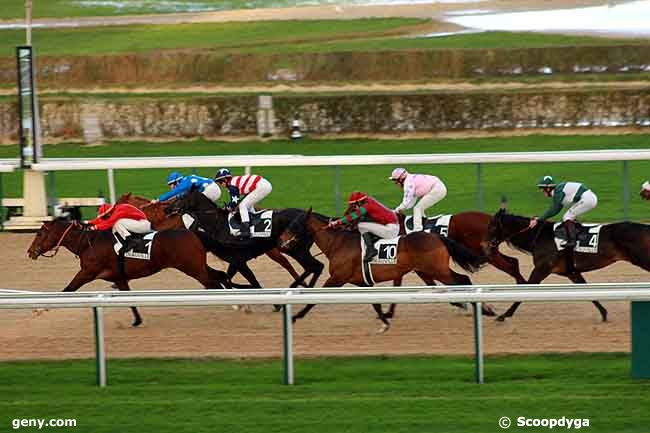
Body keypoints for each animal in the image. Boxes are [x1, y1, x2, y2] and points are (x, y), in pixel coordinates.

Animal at [27, 221, 230, 326]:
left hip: (193, 268)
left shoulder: (86, 273)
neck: (87, 244)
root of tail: (194, 234)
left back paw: (234, 305)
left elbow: (67, 290)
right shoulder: (119, 277)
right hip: (197, 266)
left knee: (213, 283)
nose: (30, 252)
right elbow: (129, 298)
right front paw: (137, 320)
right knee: (219, 276)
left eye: (39, 234)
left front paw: (40, 309)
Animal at [167, 189, 324, 290]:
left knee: (315, 266)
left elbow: (243, 280)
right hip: (296, 249)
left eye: (180, 198)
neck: (219, 223)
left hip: (296, 249)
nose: (167, 209)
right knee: (313, 267)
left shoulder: (238, 260)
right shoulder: (234, 261)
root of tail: (310, 216)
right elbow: (228, 278)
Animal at [278, 209, 486, 330]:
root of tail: (437, 237)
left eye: (294, 224)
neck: (338, 242)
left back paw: (484, 309)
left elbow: (314, 300)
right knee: (460, 281)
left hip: (437, 269)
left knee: (462, 280)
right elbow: (376, 303)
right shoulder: (361, 282)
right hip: (430, 269)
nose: (281, 240)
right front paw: (385, 322)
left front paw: (296, 315)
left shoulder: (337, 278)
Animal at [486, 209, 648, 320]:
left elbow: (524, 290)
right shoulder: (571, 272)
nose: (487, 244)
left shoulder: (541, 269)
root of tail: (646, 228)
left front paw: (504, 315)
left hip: (642, 259)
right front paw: (604, 313)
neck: (540, 237)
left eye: (492, 226)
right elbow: (588, 292)